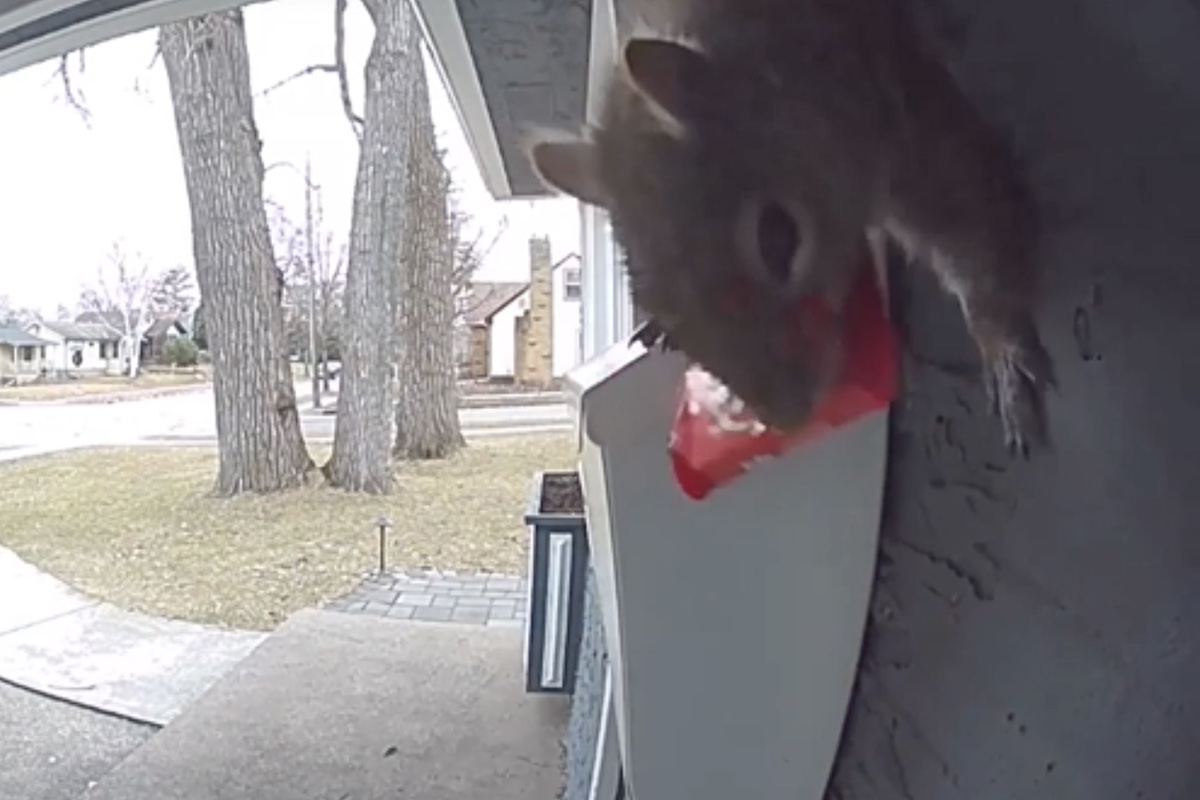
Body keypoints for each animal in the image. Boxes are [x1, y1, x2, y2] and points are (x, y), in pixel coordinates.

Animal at [529, 0, 1055, 457]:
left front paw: (1004, 357)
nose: (790, 417)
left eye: (778, 237)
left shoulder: (896, 115)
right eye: (655, 302)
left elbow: (970, 222)